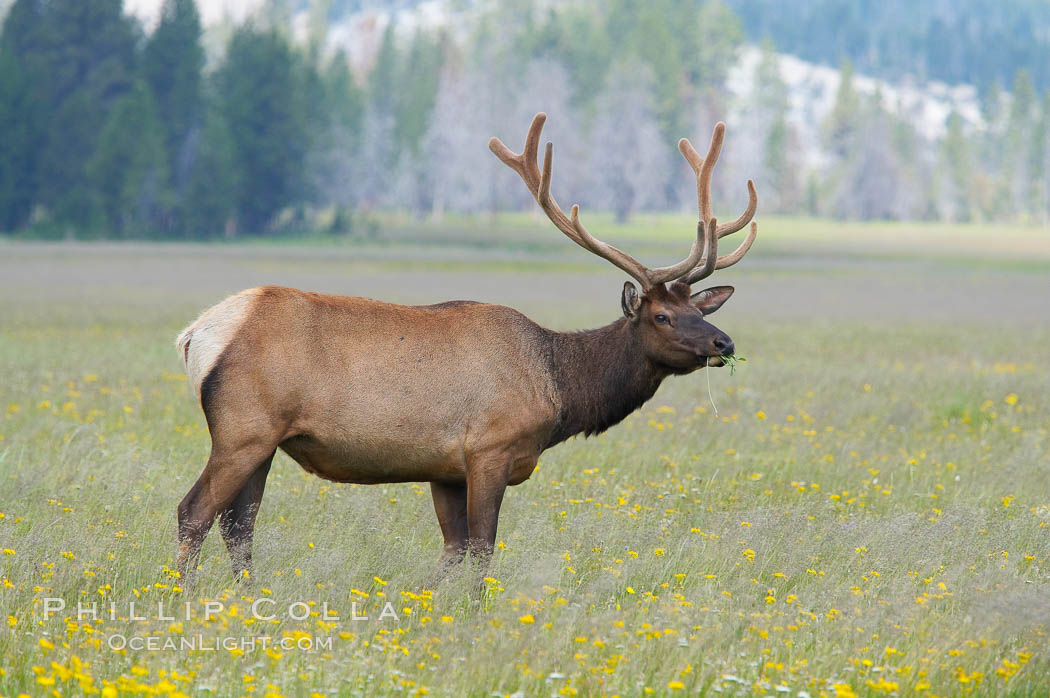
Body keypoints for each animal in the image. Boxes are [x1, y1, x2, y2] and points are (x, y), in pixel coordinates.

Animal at [172, 112, 755, 583]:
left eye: (702, 310)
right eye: (662, 316)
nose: (724, 342)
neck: (557, 388)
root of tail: (197, 334)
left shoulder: (445, 468)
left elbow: (451, 552)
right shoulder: (488, 450)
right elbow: (481, 551)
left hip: (265, 440)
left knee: (238, 525)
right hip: (243, 427)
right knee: (194, 512)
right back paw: (183, 596)